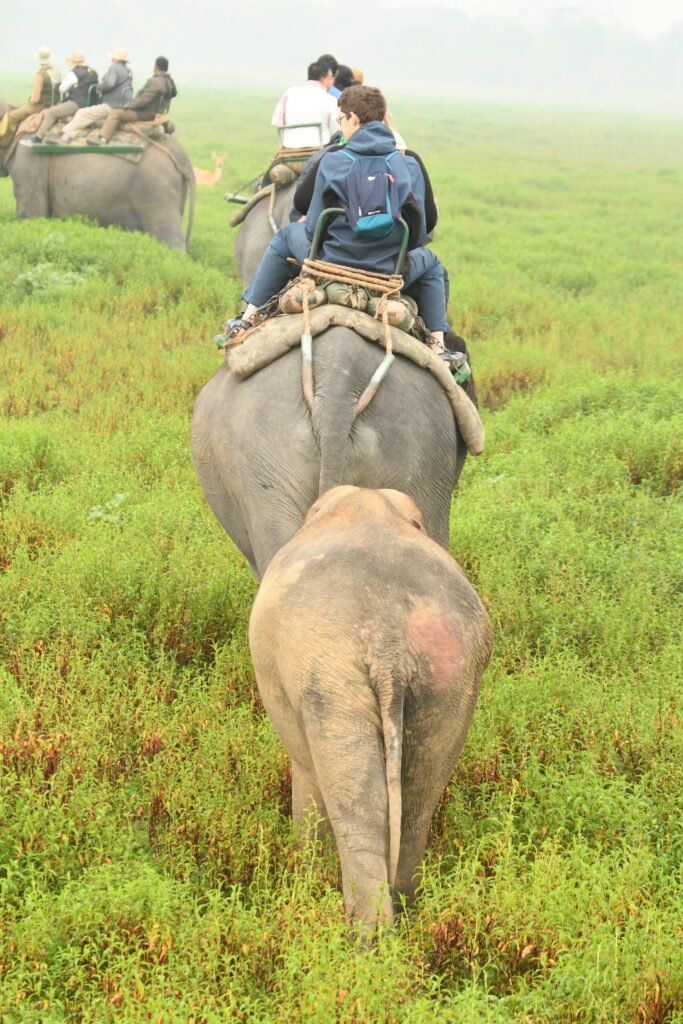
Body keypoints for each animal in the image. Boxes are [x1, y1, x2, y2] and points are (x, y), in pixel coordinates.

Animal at [248, 487, 493, 937]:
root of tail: (389, 642)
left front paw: (304, 876)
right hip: (451, 676)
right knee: (416, 806)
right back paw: (405, 921)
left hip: (331, 678)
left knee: (360, 814)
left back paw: (366, 944)